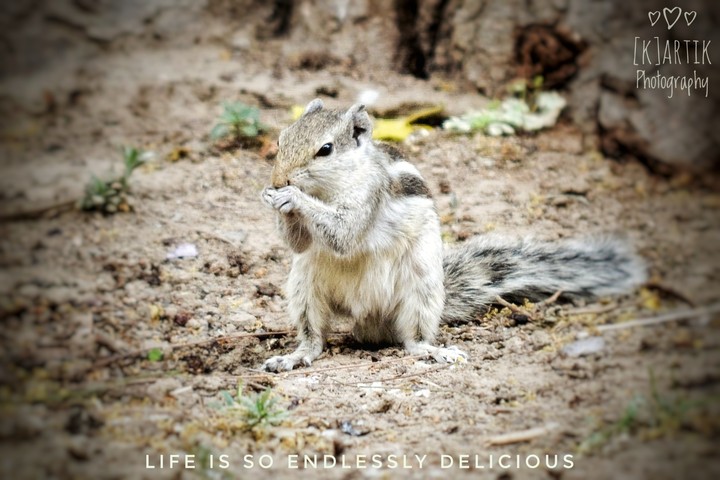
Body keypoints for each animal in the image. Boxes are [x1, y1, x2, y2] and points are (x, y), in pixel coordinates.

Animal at [260, 98, 647, 372]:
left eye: (325, 150)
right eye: (280, 139)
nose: (277, 180)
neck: (330, 188)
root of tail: (369, 320)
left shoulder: (369, 195)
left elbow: (344, 234)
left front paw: (292, 198)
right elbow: (299, 243)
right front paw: (274, 199)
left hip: (421, 290)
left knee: (412, 339)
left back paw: (434, 351)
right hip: (304, 288)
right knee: (313, 338)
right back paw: (294, 356)